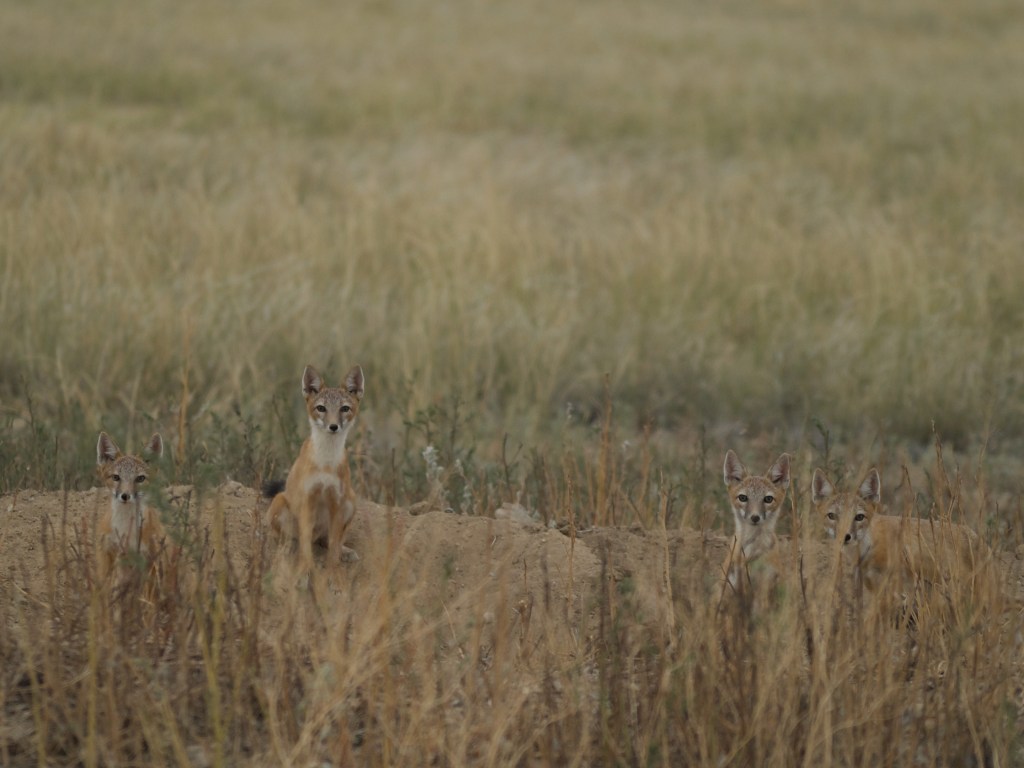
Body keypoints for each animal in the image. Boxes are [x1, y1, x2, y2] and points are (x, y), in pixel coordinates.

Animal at [265, 364, 364, 570]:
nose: (333, 426)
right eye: (321, 408)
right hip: (280, 503)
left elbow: (333, 545)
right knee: (292, 537)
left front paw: (332, 570)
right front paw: (306, 568)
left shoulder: (337, 502)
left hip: (351, 502)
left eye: (344, 408)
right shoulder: (308, 499)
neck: (326, 462)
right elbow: (304, 543)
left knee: (329, 541)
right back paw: (286, 549)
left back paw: (345, 551)